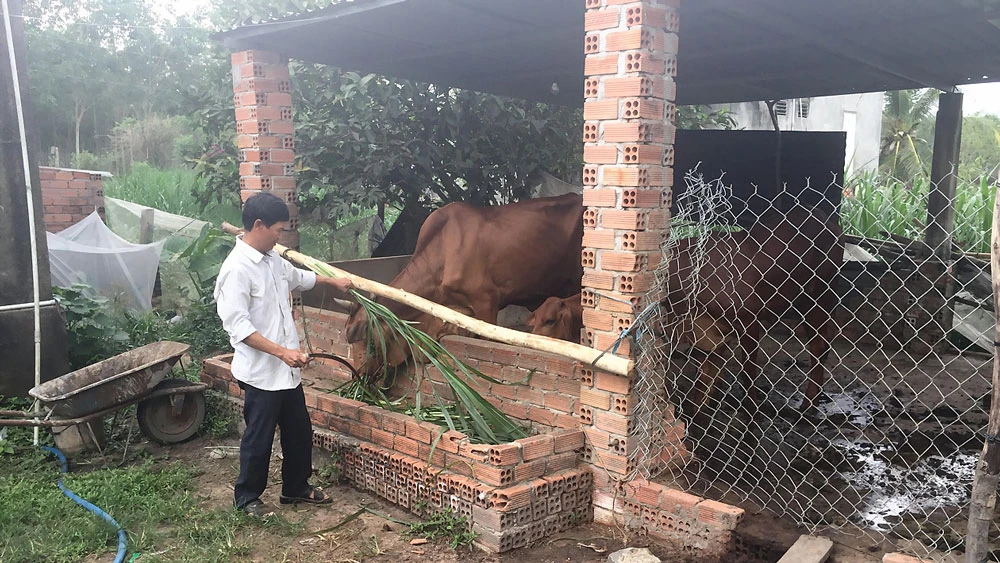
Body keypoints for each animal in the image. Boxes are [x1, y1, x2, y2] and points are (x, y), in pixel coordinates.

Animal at [664, 205, 844, 412]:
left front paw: (752, 411)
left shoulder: (747, 322)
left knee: (819, 346)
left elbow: (747, 372)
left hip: (820, 297)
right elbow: (703, 382)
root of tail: (826, 218)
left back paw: (809, 403)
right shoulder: (709, 335)